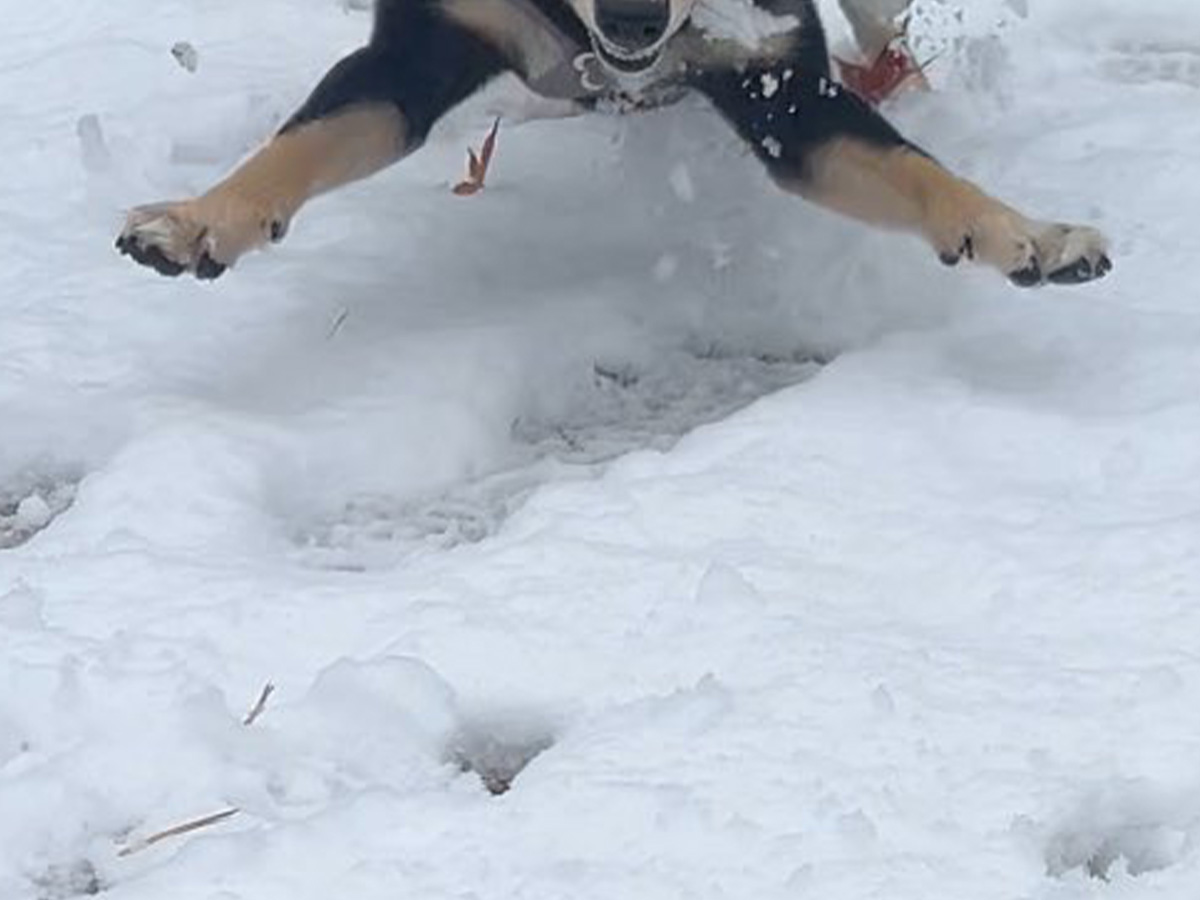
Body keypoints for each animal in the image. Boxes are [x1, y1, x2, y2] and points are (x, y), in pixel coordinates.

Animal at [117, 0, 1108, 286]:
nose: (634, 19)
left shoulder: (782, 90)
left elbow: (911, 169)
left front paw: (1026, 231)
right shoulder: (416, 54)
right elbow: (299, 146)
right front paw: (199, 219)